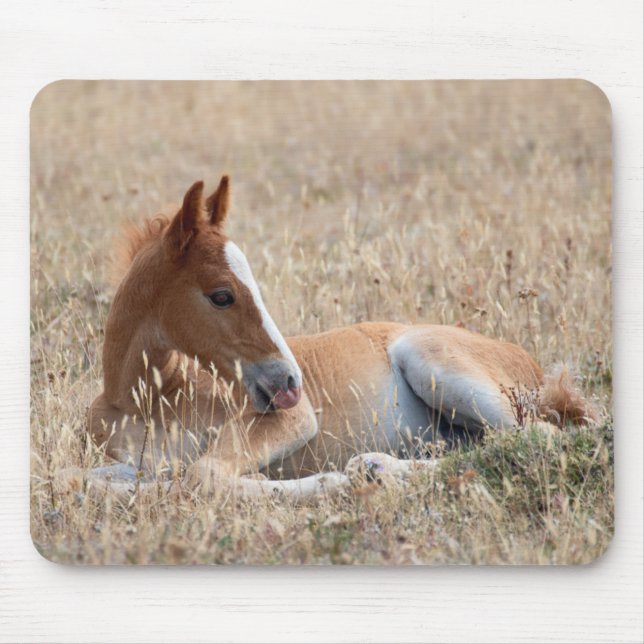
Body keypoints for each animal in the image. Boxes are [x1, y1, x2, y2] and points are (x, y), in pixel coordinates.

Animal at [72, 176, 596, 501]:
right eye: (221, 295)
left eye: (248, 286)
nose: (290, 382)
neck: (142, 399)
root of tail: (533, 367)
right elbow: (81, 480)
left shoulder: (292, 420)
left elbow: (203, 475)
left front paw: (329, 484)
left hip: (433, 362)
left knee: (540, 436)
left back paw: (371, 468)